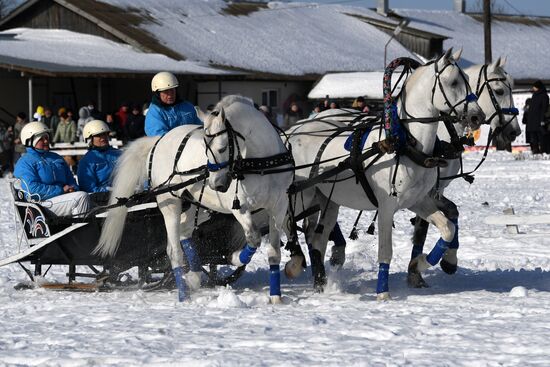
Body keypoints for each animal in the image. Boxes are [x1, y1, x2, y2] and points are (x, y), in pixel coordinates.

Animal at [96, 96, 294, 304]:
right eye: (205, 149)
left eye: (222, 148)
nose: (216, 184)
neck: (261, 163)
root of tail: (159, 140)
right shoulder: (240, 207)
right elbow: (253, 238)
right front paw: (235, 257)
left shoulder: (279, 207)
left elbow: (274, 253)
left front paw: (276, 298)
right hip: (170, 203)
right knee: (174, 251)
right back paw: (183, 294)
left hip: (194, 204)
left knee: (184, 231)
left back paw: (194, 276)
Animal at [284, 49, 488, 302]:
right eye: (453, 82)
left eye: (468, 80)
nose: (478, 117)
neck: (405, 143)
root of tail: (294, 131)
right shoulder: (386, 206)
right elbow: (385, 251)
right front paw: (383, 293)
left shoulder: (419, 201)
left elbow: (447, 228)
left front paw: (420, 263)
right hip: (301, 195)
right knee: (286, 222)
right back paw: (294, 264)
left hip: (329, 200)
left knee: (318, 241)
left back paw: (321, 283)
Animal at [410, 57, 520, 288]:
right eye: (498, 91)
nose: (514, 131)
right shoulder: (422, 190)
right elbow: (422, 229)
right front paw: (416, 273)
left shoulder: (436, 190)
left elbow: (452, 214)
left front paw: (449, 261)